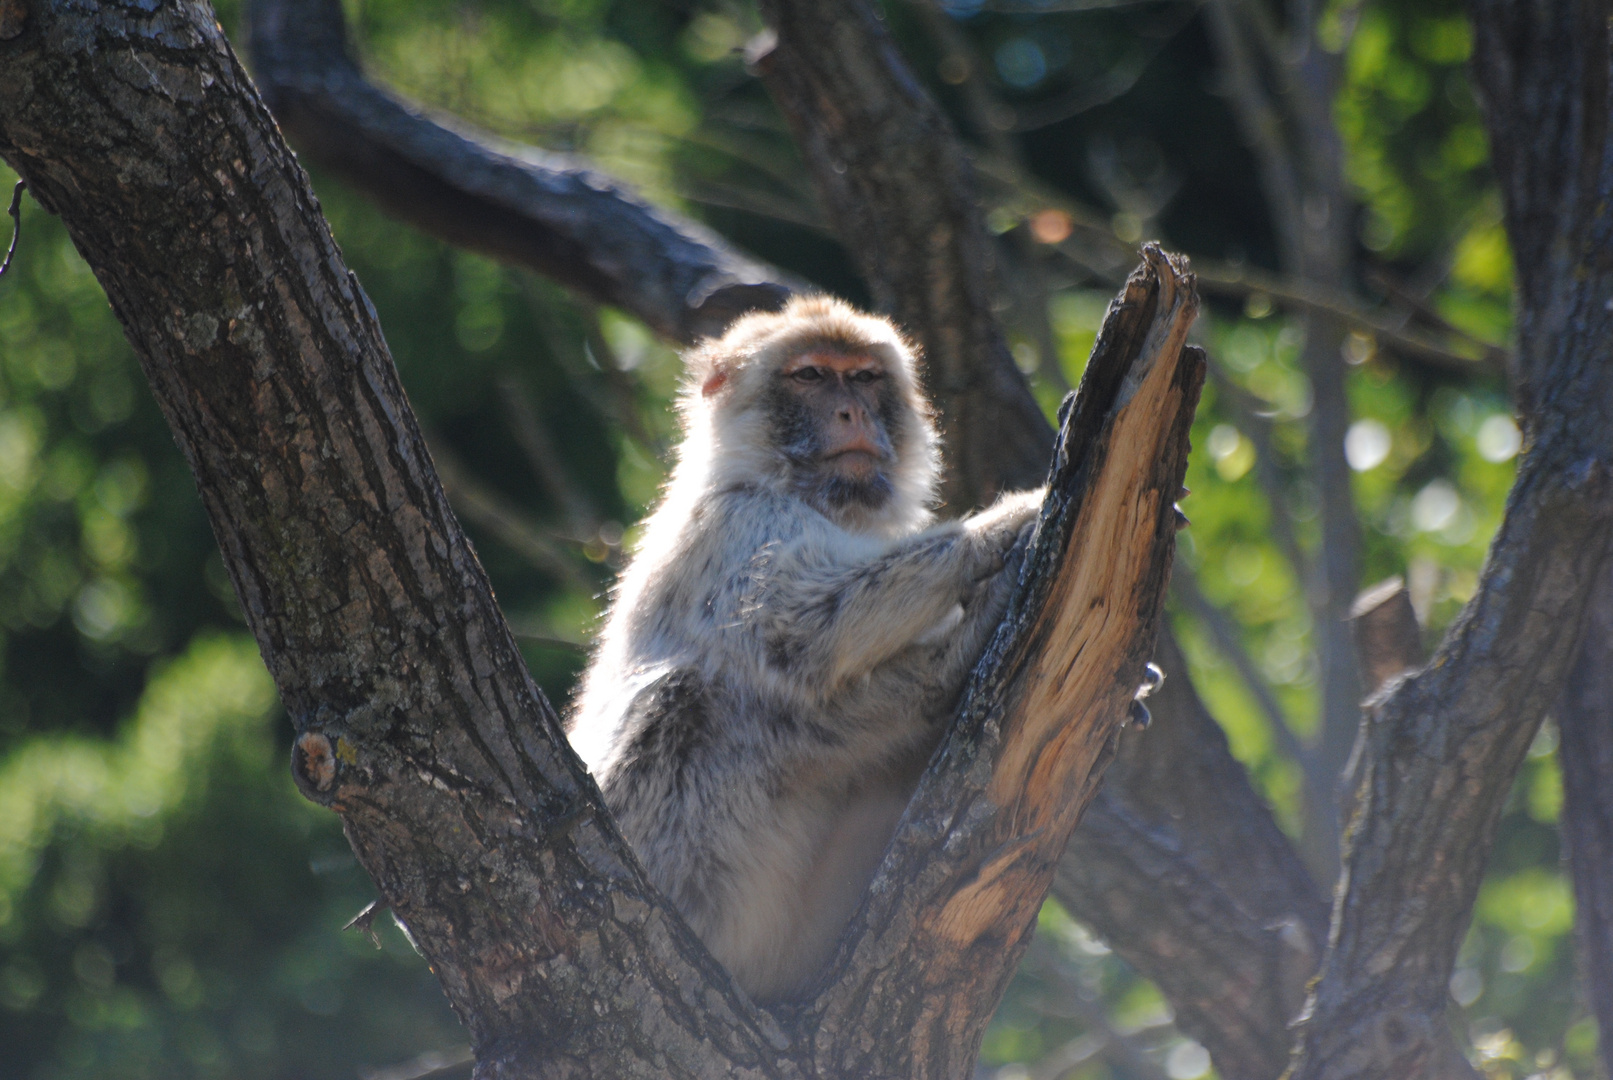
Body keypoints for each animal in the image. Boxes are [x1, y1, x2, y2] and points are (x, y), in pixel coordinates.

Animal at [571, 296, 1045, 1005]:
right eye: (812, 376)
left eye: (866, 378)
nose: (852, 413)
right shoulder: (736, 526)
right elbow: (803, 630)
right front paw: (1010, 527)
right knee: (685, 700)